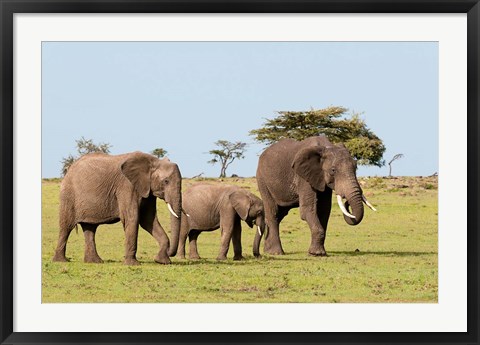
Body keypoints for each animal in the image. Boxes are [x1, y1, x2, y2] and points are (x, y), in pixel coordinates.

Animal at [50, 149, 182, 264]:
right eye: (166, 181)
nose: (169, 252)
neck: (153, 160)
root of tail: (70, 168)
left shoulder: (148, 191)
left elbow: (148, 220)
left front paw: (162, 261)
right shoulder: (126, 186)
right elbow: (132, 218)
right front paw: (132, 264)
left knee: (90, 228)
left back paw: (95, 262)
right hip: (68, 194)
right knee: (66, 226)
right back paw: (61, 261)